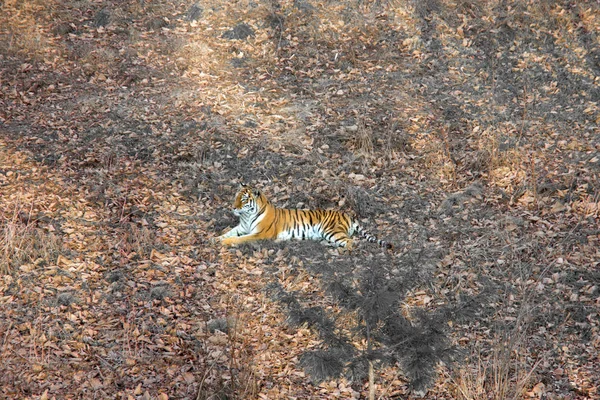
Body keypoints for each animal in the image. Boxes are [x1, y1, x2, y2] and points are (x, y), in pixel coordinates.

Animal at [216, 184, 394, 250]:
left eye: (243, 199)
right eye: (236, 197)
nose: (233, 207)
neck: (246, 216)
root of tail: (346, 214)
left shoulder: (260, 233)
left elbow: (241, 238)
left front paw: (226, 242)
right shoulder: (241, 227)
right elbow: (228, 232)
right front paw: (215, 239)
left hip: (330, 230)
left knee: (351, 242)